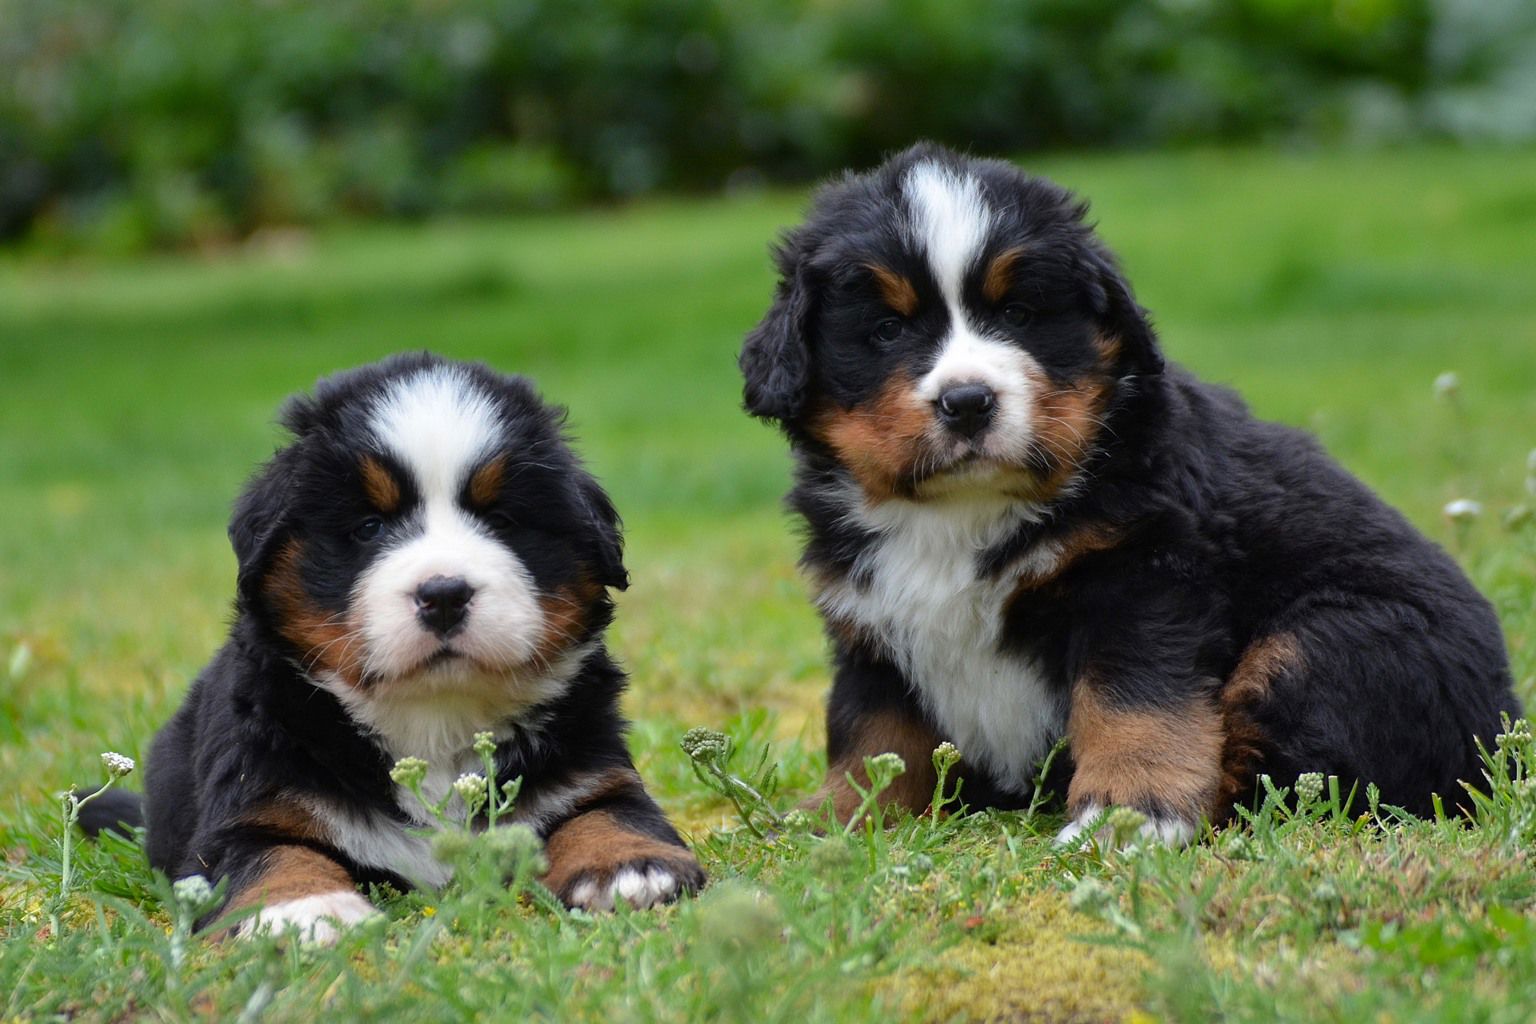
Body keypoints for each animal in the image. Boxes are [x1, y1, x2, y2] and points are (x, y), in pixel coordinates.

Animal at [82, 356, 703, 939]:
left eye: (502, 520)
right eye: (368, 527)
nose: (445, 594)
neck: (435, 723)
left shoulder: (591, 770)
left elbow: (609, 812)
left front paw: (629, 865)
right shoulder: (248, 804)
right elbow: (272, 855)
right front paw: (304, 909)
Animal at [737, 144, 1517, 847]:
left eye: (1020, 314)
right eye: (886, 329)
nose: (967, 401)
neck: (962, 512)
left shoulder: (1142, 576)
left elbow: (1133, 705)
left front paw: (1129, 813)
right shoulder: (870, 618)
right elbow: (873, 732)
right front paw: (836, 820)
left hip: (1331, 640)